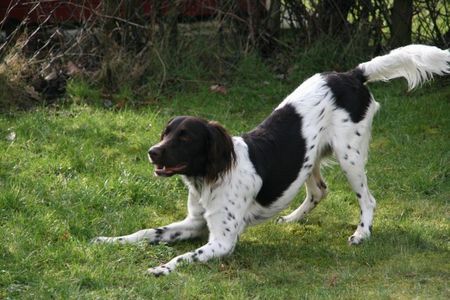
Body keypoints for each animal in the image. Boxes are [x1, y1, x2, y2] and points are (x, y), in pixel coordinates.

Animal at [92, 43, 450, 276]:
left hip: (350, 155)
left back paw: (361, 234)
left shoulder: (222, 241)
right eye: (165, 132)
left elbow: (185, 257)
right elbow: (146, 232)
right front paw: (108, 240)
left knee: (368, 199)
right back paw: (291, 219)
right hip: (311, 156)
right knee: (319, 190)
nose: (152, 151)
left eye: (185, 137)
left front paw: (161, 268)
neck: (209, 178)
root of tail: (351, 74)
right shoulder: (194, 223)